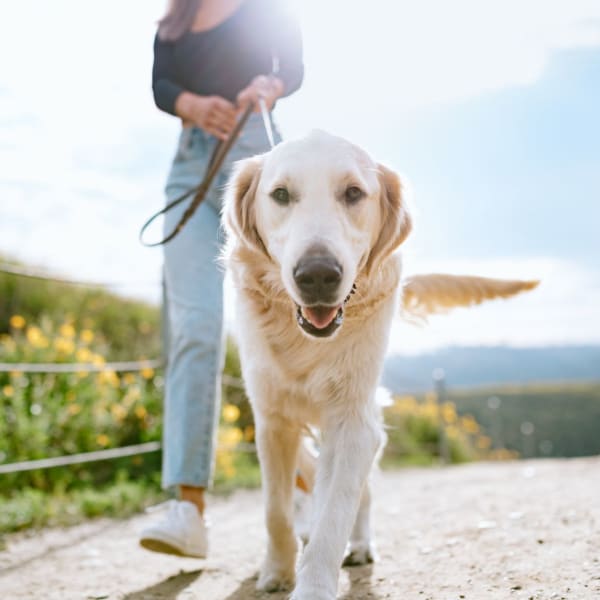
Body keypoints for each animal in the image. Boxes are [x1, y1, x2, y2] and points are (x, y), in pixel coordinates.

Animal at [221, 131, 540, 600]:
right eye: (280, 195)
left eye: (353, 193)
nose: (318, 275)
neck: (306, 342)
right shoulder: (272, 421)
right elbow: (274, 510)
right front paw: (277, 570)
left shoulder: (354, 422)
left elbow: (335, 513)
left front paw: (313, 584)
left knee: (360, 494)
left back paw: (359, 545)